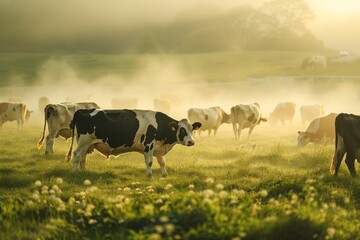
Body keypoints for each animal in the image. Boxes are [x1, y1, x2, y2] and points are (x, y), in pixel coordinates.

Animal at [65, 109, 201, 176]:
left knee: (83, 157)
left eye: (192, 129)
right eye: (182, 130)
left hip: (87, 144)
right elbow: (149, 161)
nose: (191, 142)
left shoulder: (158, 146)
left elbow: (162, 161)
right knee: (77, 155)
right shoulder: (148, 144)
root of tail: (82, 110)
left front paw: (164, 175)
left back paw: (84, 171)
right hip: (84, 142)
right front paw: (149, 175)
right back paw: (73, 172)